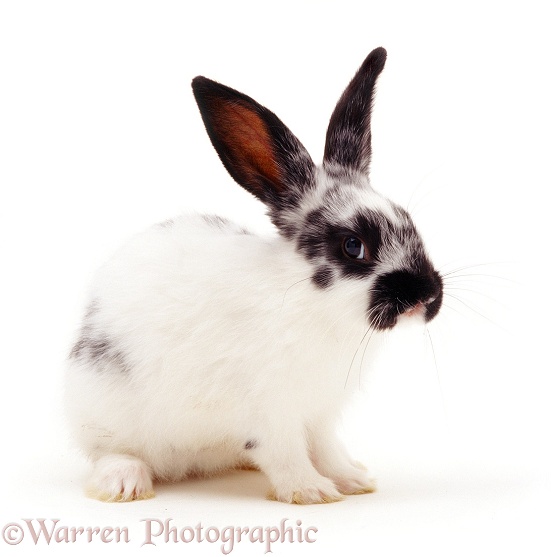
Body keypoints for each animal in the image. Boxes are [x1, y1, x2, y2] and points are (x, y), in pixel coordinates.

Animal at [64, 47, 444, 504]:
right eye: (353, 246)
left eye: (409, 220)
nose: (426, 296)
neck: (314, 306)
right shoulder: (270, 413)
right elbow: (285, 453)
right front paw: (311, 492)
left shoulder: (319, 413)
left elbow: (327, 448)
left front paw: (353, 481)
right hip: (105, 411)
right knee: (110, 451)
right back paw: (125, 483)